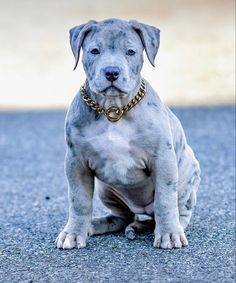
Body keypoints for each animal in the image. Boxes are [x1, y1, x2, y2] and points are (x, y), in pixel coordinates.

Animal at [55, 18, 201, 251]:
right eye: (94, 51)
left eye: (131, 52)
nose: (111, 72)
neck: (114, 109)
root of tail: (143, 210)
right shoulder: (76, 162)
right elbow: (79, 201)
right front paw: (74, 232)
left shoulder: (163, 159)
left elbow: (165, 199)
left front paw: (169, 234)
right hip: (107, 190)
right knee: (122, 217)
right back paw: (95, 225)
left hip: (188, 175)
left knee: (178, 210)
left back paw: (174, 227)